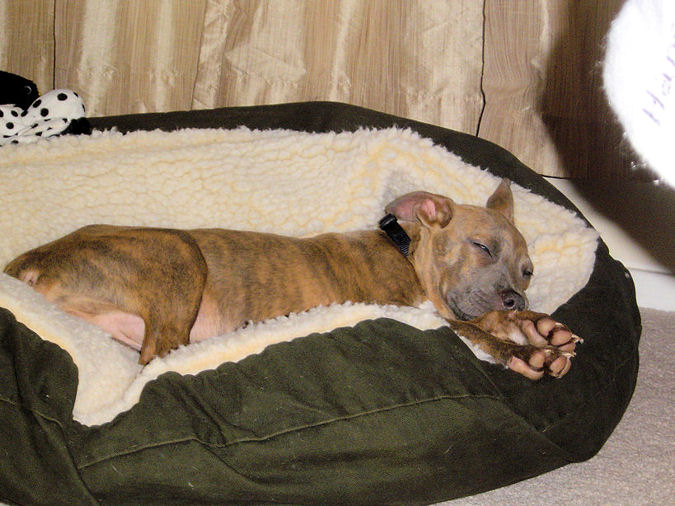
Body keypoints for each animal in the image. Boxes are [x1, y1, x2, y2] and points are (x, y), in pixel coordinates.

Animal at [4, 179, 579, 380]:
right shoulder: (408, 309)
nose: (514, 297)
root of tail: (30, 262)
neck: (405, 250)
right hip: (178, 253)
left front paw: (540, 328)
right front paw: (525, 351)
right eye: (482, 247)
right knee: (159, 357)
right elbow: (470, 329)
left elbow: (483, 322)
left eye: (528, 271)